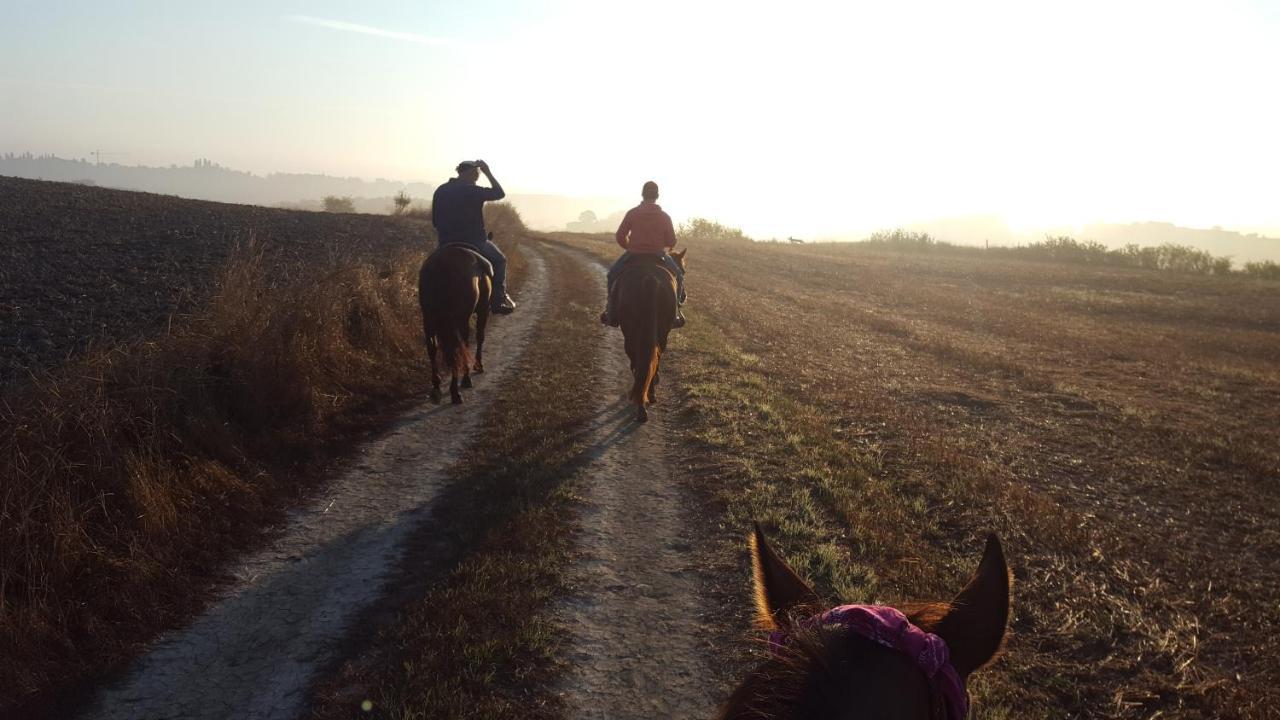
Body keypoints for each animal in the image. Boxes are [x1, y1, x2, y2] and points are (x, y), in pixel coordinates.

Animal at [424, 238, 494, 399]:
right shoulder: (484, 310)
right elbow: (480, 337)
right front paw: (478, 365)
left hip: (429, 318)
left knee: (432, 347)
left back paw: (437, 385)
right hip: (458, 319)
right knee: (458, 347)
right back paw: (459, 387)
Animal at [614, 249, 686, 422]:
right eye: (683, 271)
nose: (685, 296)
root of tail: (649, 279)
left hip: (632, 334)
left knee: (639, 361)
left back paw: (642, 401)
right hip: (658, 333)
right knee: (652, 359)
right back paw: (647, 398)